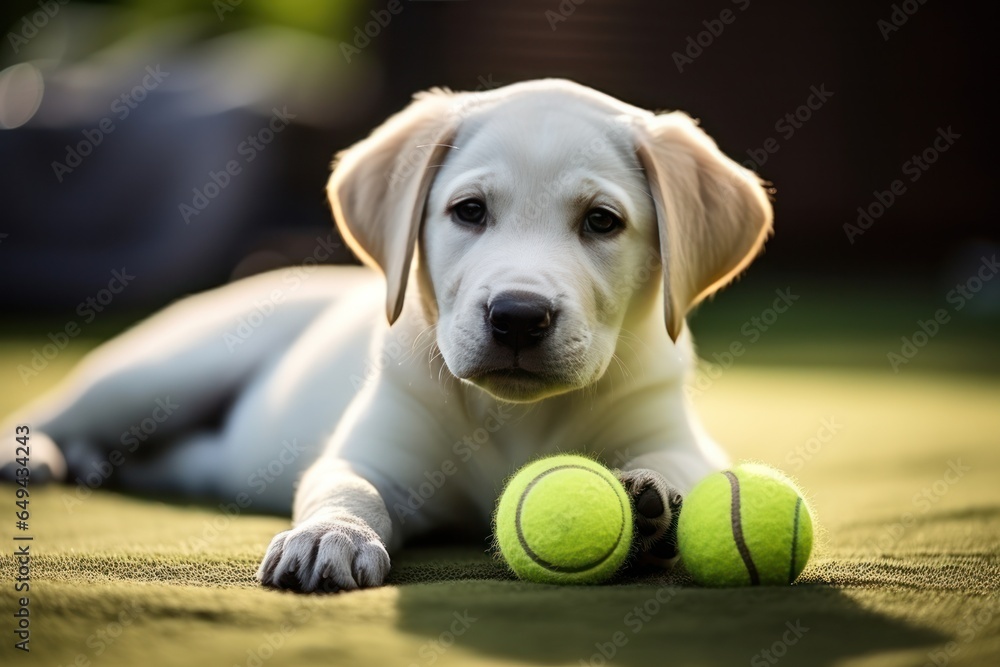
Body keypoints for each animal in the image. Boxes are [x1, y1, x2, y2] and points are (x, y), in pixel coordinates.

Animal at [0, 79, 772, 596]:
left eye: (603, 222)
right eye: (469, 211)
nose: (518, 316)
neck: (513, 417)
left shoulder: (678, 434)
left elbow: (685, 468)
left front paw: (648, 503)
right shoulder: (370, 452)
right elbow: (348, 488)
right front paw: (327, 537)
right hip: (168, 367)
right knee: (72, 406)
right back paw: (35, 455)